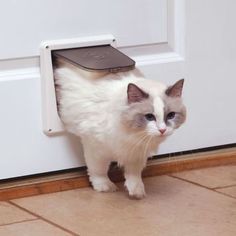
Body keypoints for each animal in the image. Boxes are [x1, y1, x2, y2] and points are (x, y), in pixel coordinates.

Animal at [54, 59, 186, 199]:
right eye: (149, 117)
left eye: (171, 115)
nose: (162, 130)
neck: (133, 135)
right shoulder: (95, 147)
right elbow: (98, 170)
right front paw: (105, 187)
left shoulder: (137, 154)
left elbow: (134, 174)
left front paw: (137, 192)